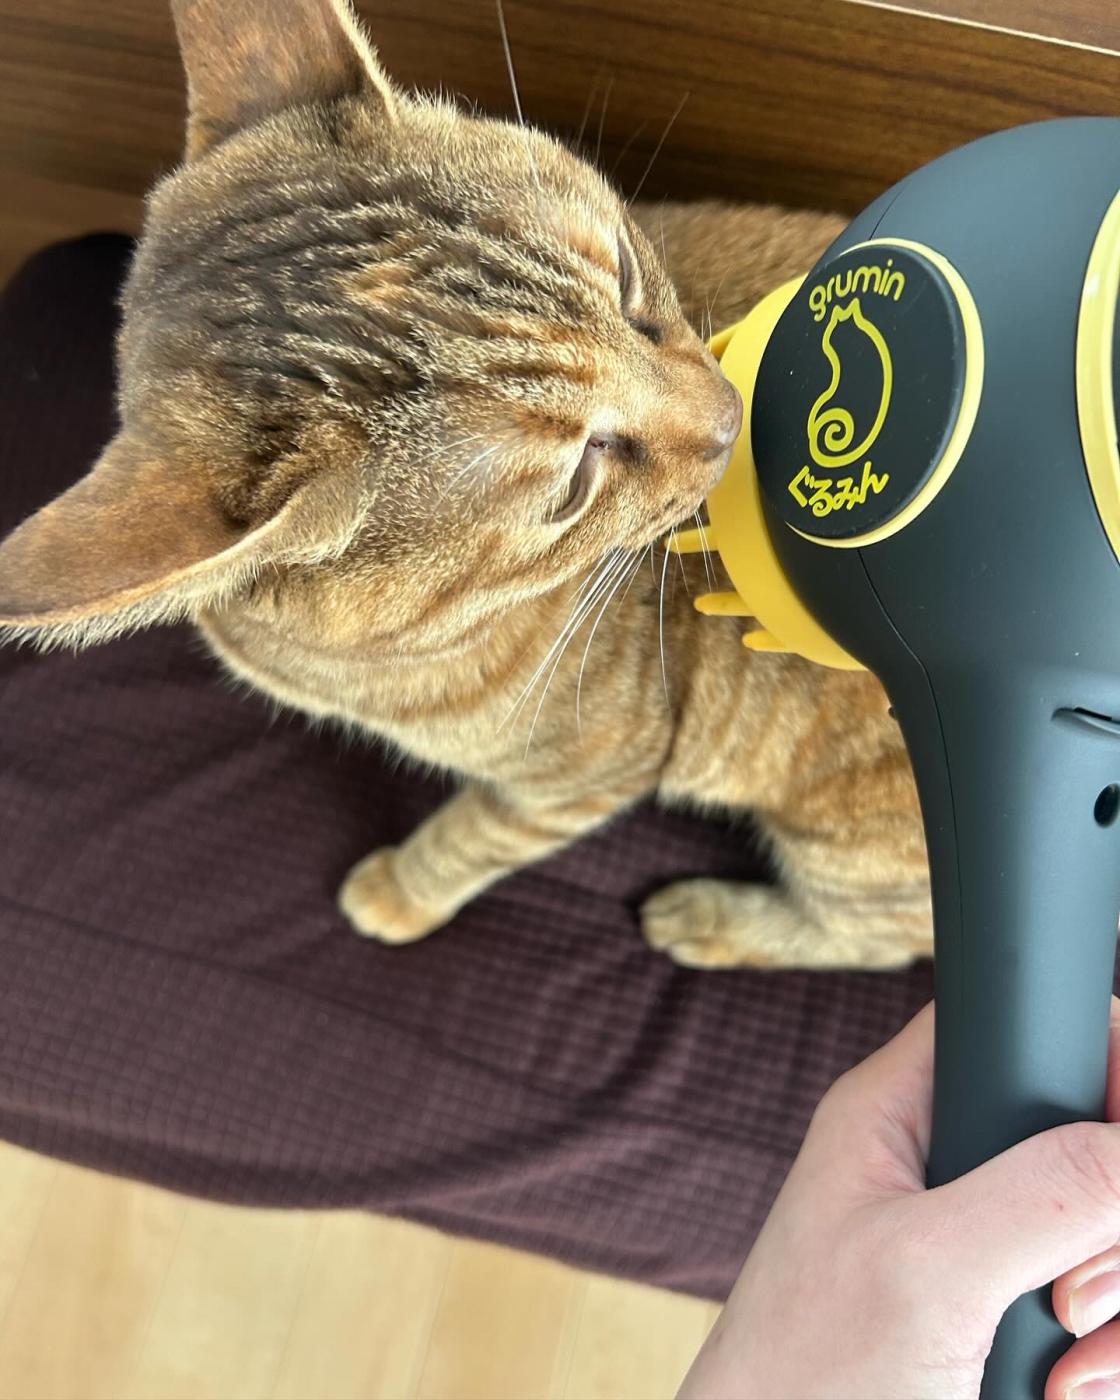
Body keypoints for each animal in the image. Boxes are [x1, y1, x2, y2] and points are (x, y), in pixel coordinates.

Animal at [0, 0, 932, 970]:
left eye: (629, 283)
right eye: (574, 482)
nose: (733, 416)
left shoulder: (589, 769)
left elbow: (471, 837)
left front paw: (400, 893)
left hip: (853, 852)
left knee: (872, 940)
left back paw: (711, 919)